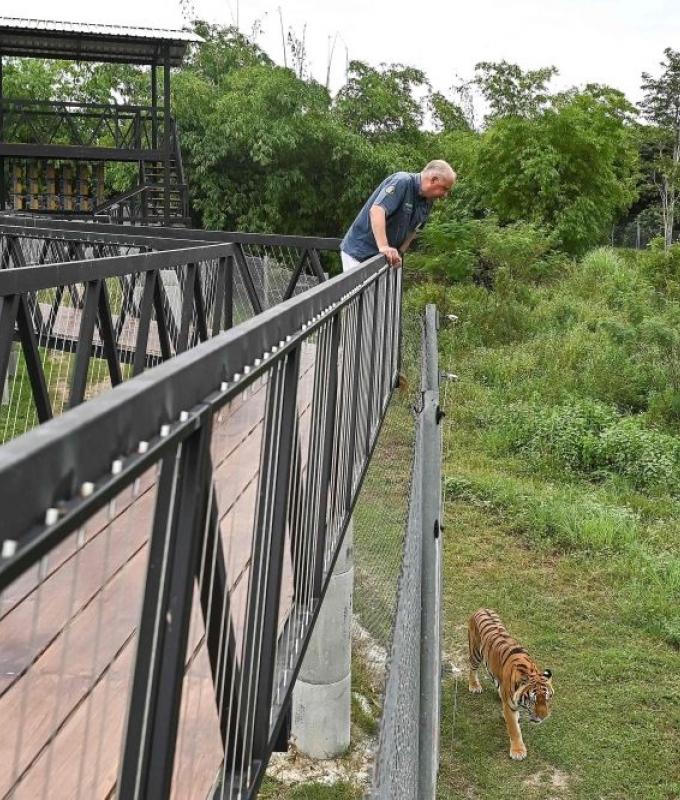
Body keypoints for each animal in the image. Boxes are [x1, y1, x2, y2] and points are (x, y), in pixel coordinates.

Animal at [467, 608, 554, 761]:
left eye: (547, 698)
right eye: (533, 701)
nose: (544, 717)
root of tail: (481, 609)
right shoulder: (510, 707)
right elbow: (514, 729)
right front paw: (518, 751)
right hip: (475, 651)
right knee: (472, 668)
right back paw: (474, 686)